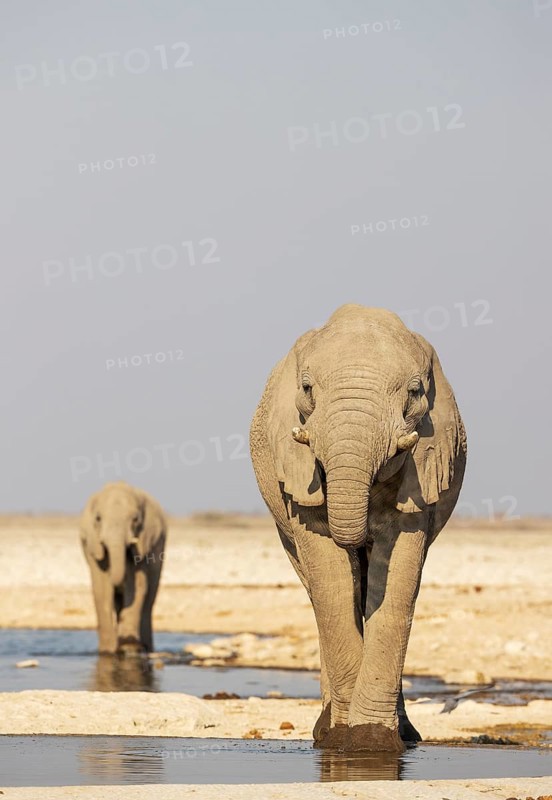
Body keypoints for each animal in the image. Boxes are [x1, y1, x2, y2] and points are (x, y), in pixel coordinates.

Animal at [80, 481, 167, 654]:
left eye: (135, 519)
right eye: (98, 518)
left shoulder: (143, 543)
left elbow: (137, 586)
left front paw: (129, 647)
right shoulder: (93, 546)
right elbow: (102, 589)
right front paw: (107, 651)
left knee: (149, 602)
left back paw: (146, 648)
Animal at [250, 304, 466, 753]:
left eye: (415, 393)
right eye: (307, 388)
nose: (355, 536)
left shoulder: (423, 466)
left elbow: (397, 580)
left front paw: (372, 743)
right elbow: (331, 581)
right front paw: (342, 741)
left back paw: (406, 735)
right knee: (319, 590)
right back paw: (325, 728)